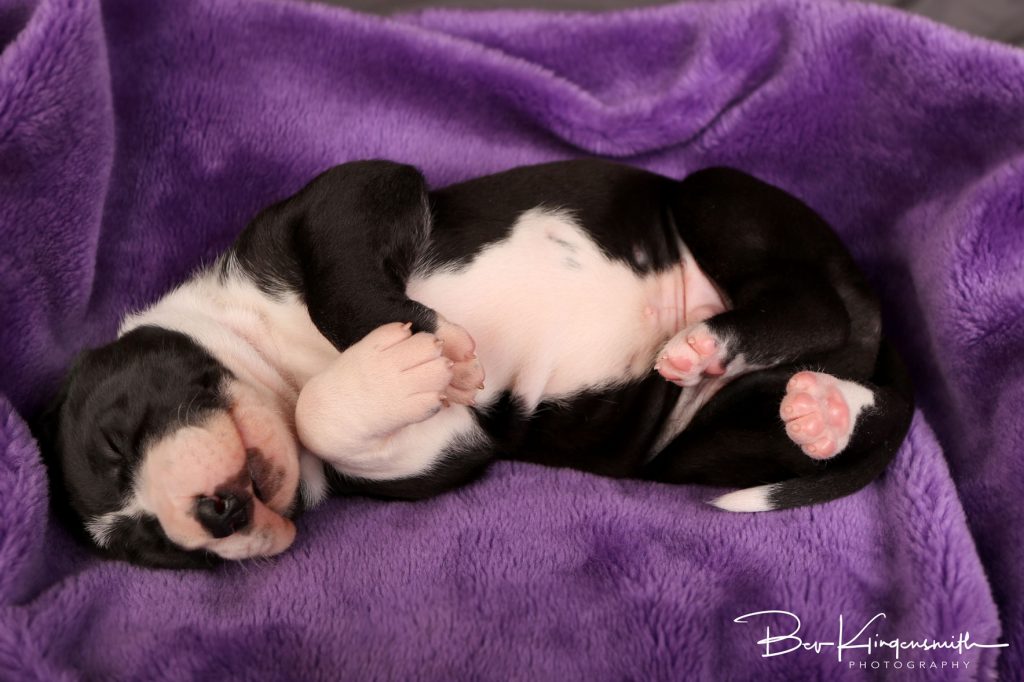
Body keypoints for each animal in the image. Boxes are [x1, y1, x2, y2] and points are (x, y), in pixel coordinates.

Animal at [36, 160, 913, 569]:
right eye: (155, 550)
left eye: (116, 438)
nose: (210, 516)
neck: (283, 366)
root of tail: (874, 311)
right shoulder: (441, 449)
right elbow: (335, 423)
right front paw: (398, 372)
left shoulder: (339, 201)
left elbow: (344, 279)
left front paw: (424, 339)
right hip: (701, 440)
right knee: (799, 406)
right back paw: (820, 411)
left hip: (718, 201)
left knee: (807, 303)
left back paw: (706, 340)